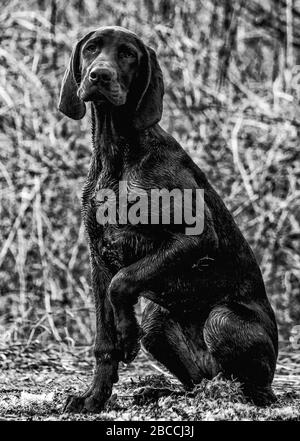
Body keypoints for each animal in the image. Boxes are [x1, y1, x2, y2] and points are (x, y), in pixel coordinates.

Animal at [58, 25, 278, 410]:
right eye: (91, 48)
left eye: (128, 54)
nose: (99, 75)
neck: (117, 154)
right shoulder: (98, 254)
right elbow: (104, 342)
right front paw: (93, 397)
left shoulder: (196, 237)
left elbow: (123, 282)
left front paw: (126, 335)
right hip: (157, 323)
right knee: (197, 381)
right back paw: (160, 391)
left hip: (222, 320)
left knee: (253, 389)